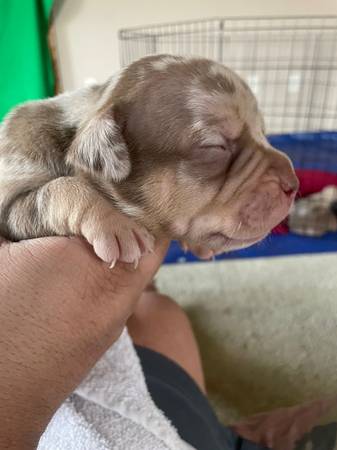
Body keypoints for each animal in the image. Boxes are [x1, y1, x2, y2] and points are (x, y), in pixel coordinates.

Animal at [0, 54, 296, 266]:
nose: (293, 185)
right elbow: (58, 189)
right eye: (215, 146)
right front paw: (116, 226)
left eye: (263, 131)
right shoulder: (9, 200)